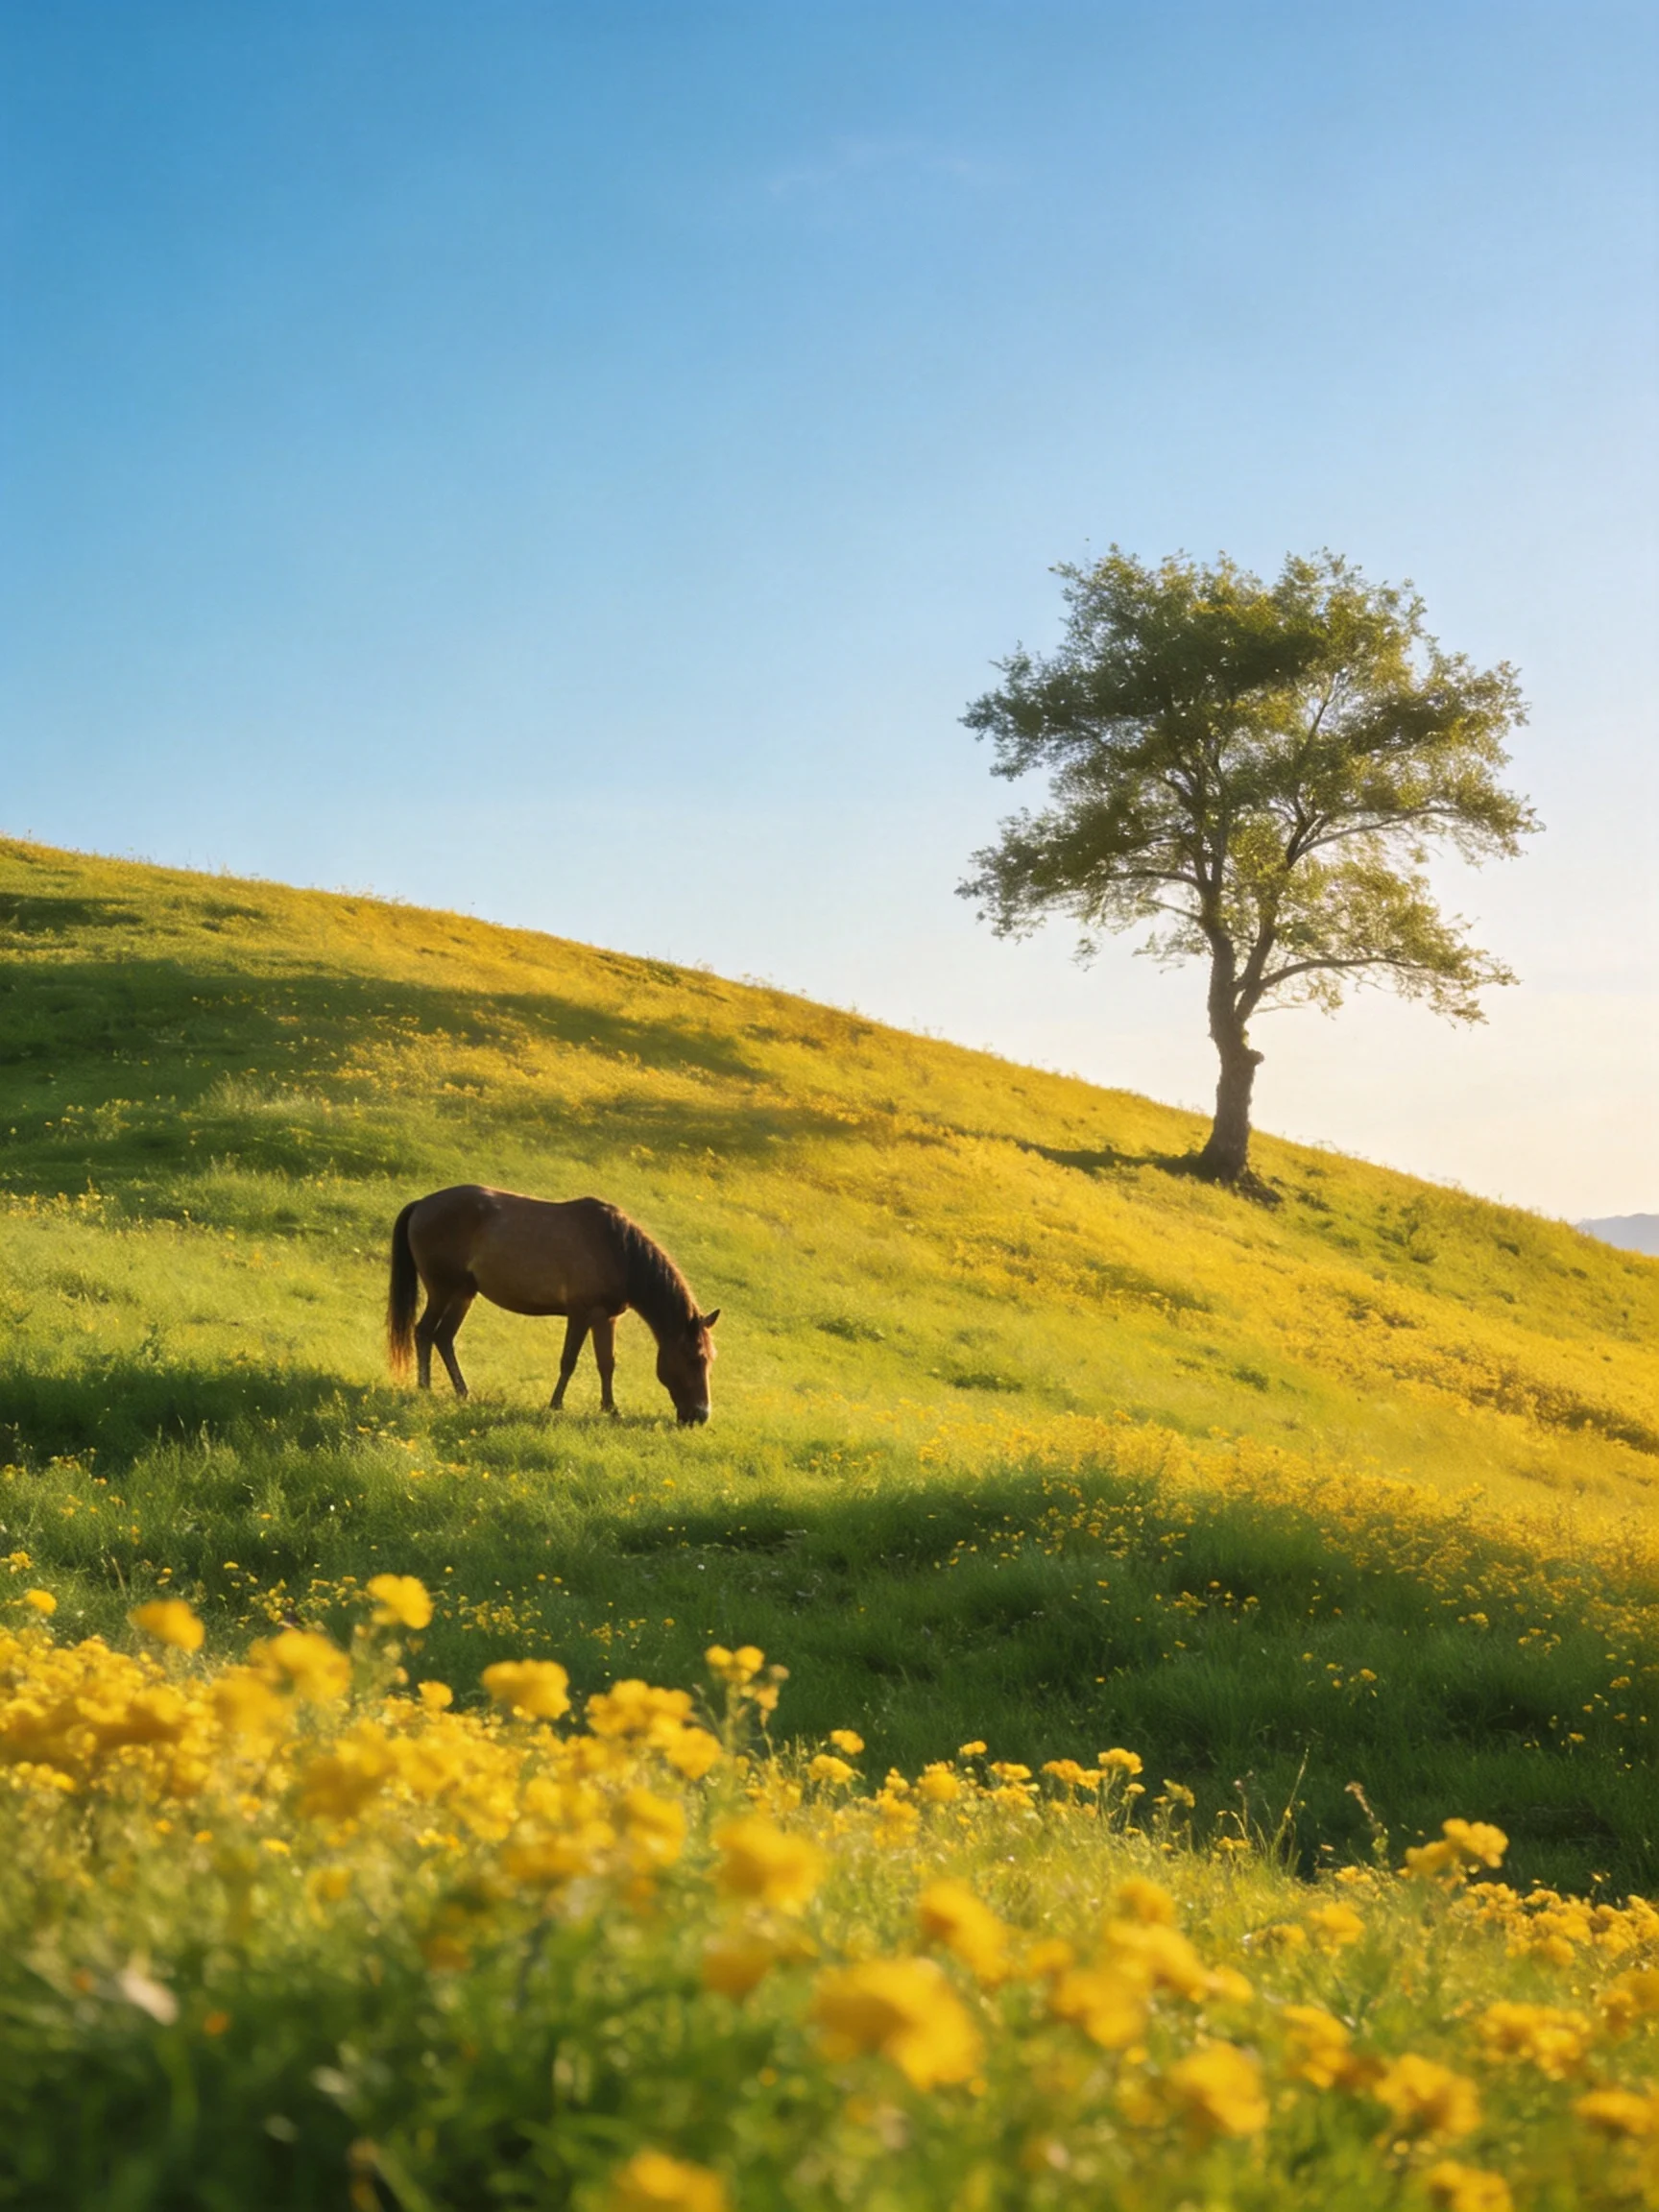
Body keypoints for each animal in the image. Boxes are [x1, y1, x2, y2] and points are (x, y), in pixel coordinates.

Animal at [386, 1185, 719, 1423]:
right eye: (694, 1357)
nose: (701, 1415)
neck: (619, 1251)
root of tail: (422, 1204)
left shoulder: (606, 1318)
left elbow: (606, 1363)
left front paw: (611, 1409)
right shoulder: (580, 1314)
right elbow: (569, 1360)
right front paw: (556, 1404)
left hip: (463, 1294)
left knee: (443, 1337)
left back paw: (462, 1392)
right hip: (442, 1290)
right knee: (424, 1332)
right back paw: (425, 1387)